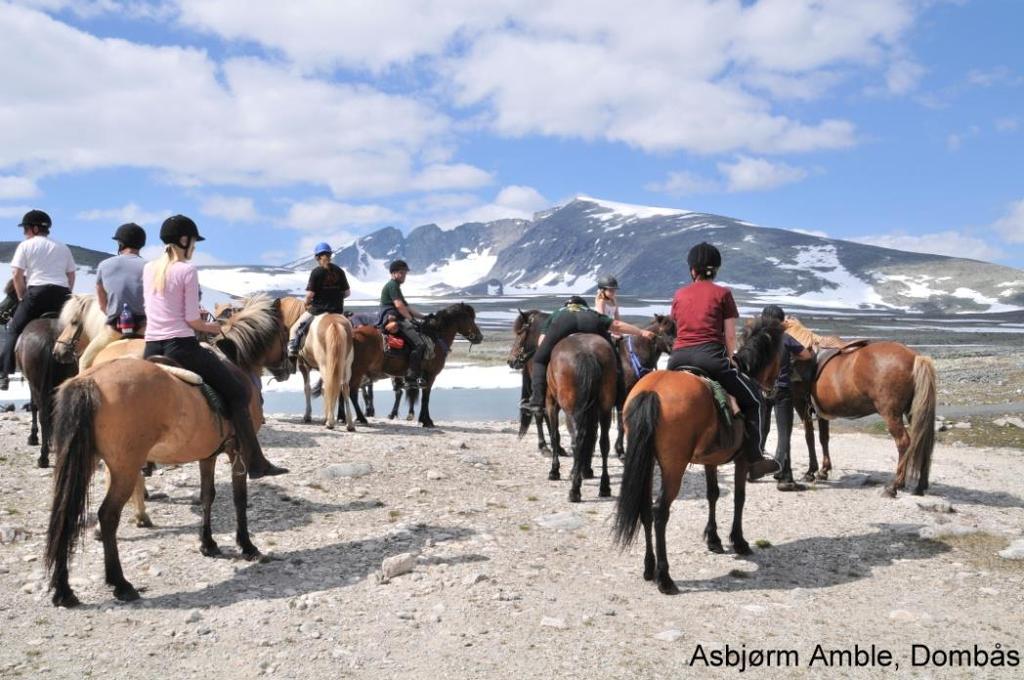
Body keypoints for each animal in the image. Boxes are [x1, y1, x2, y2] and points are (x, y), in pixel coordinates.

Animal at [544, 331, 614, 501]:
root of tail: (587, 353)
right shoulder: (592, 412)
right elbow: (592, 438)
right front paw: (585, 471)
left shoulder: (551, 404)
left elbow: (554, 435)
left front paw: (554, 471)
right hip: (605, 409)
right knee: (604, 443)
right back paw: (604, 486)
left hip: (572, 410)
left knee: (577, 441)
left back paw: (575, 490)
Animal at [610, 319, 786, 593]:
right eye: (779, 354)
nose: (775, 391)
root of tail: (653, 391)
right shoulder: (742, 460)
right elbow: (739, 497)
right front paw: (739, 541)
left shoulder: (710, 460)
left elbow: (712, 494)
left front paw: (713, 539)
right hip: (673, 467)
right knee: (660, 511)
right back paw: (664, 577)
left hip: (646, 462)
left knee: (646, 509)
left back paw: (649, 568)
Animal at [790, 340, 937, 493]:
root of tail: (915, 357)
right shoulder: (821, 412)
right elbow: (823, 438)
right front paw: (824, 470)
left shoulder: (800, 404)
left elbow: (809, 437)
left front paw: (810, 472)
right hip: (913, 411)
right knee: (924, 441)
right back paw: (921, 485)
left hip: (891, 414)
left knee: (904, 442)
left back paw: (894, 486)